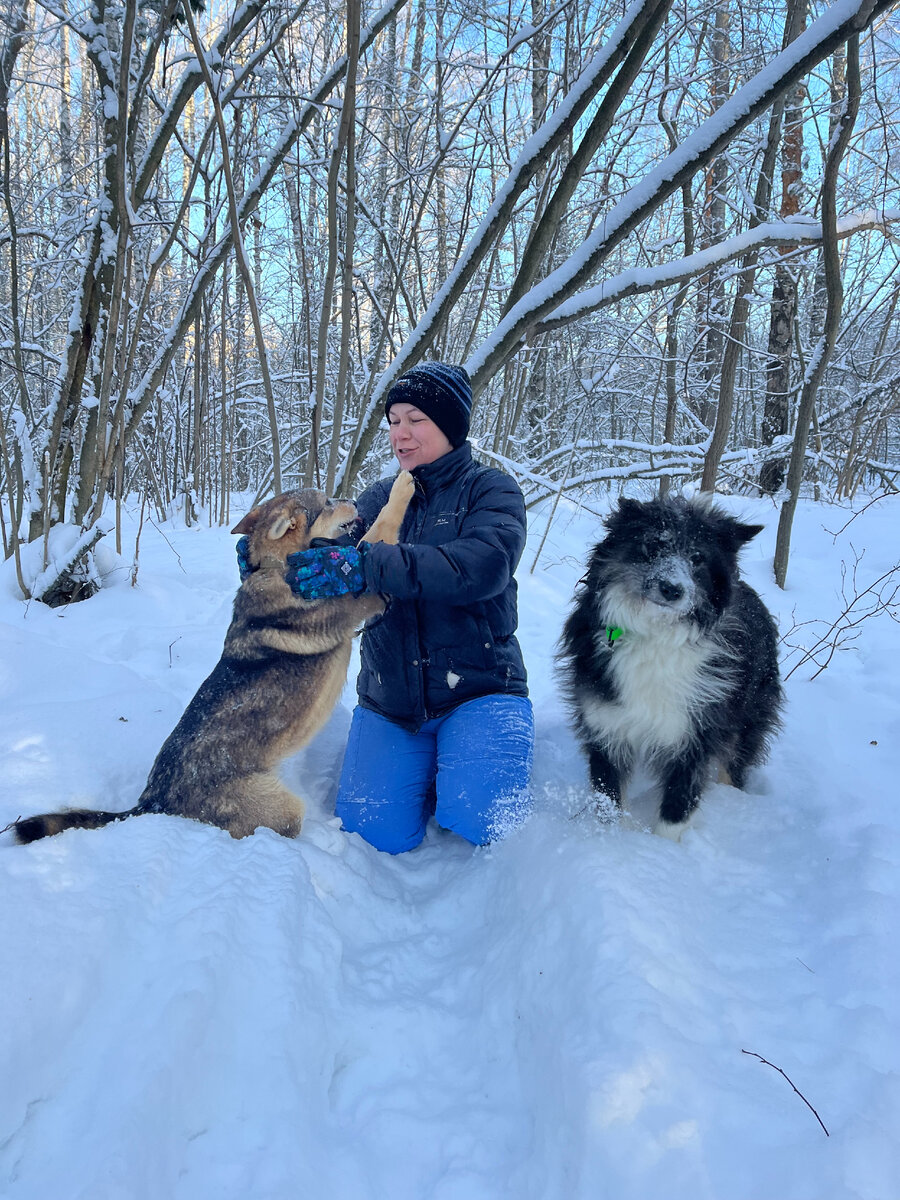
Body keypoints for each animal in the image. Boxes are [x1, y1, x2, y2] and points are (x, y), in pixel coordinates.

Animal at [15, 468, 415, 844]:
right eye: (328, 502)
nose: (353, 500)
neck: (280, 566)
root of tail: (152, 801)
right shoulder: (362, 589)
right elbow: (382, 526)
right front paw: (403, 484)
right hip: (284, 809)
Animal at [561, 492, 787, 840]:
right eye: (654, 544)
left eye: (697, 557)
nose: (672, 589)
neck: (655, 635)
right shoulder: (605, 725)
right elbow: (610, 801)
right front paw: (615, 843)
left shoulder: (695, 735)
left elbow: (677, 808)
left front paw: (663, 850)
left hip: (746, 718)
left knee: (734, 765)